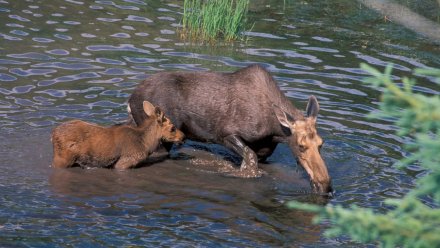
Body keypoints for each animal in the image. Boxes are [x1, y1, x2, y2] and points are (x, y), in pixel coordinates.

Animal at [51, 100, 184, 169]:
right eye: (172, 128)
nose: (183, 136)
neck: (146, 144)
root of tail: (52, 134)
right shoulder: (125, 162)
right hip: (62, 159)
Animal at [127, 64, 334, 196]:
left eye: (321, 144)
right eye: (301, 145)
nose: (326, 185)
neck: (274, 131)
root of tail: (130, 98)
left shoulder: (264, 152)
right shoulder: (225, 134)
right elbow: (250, 159)